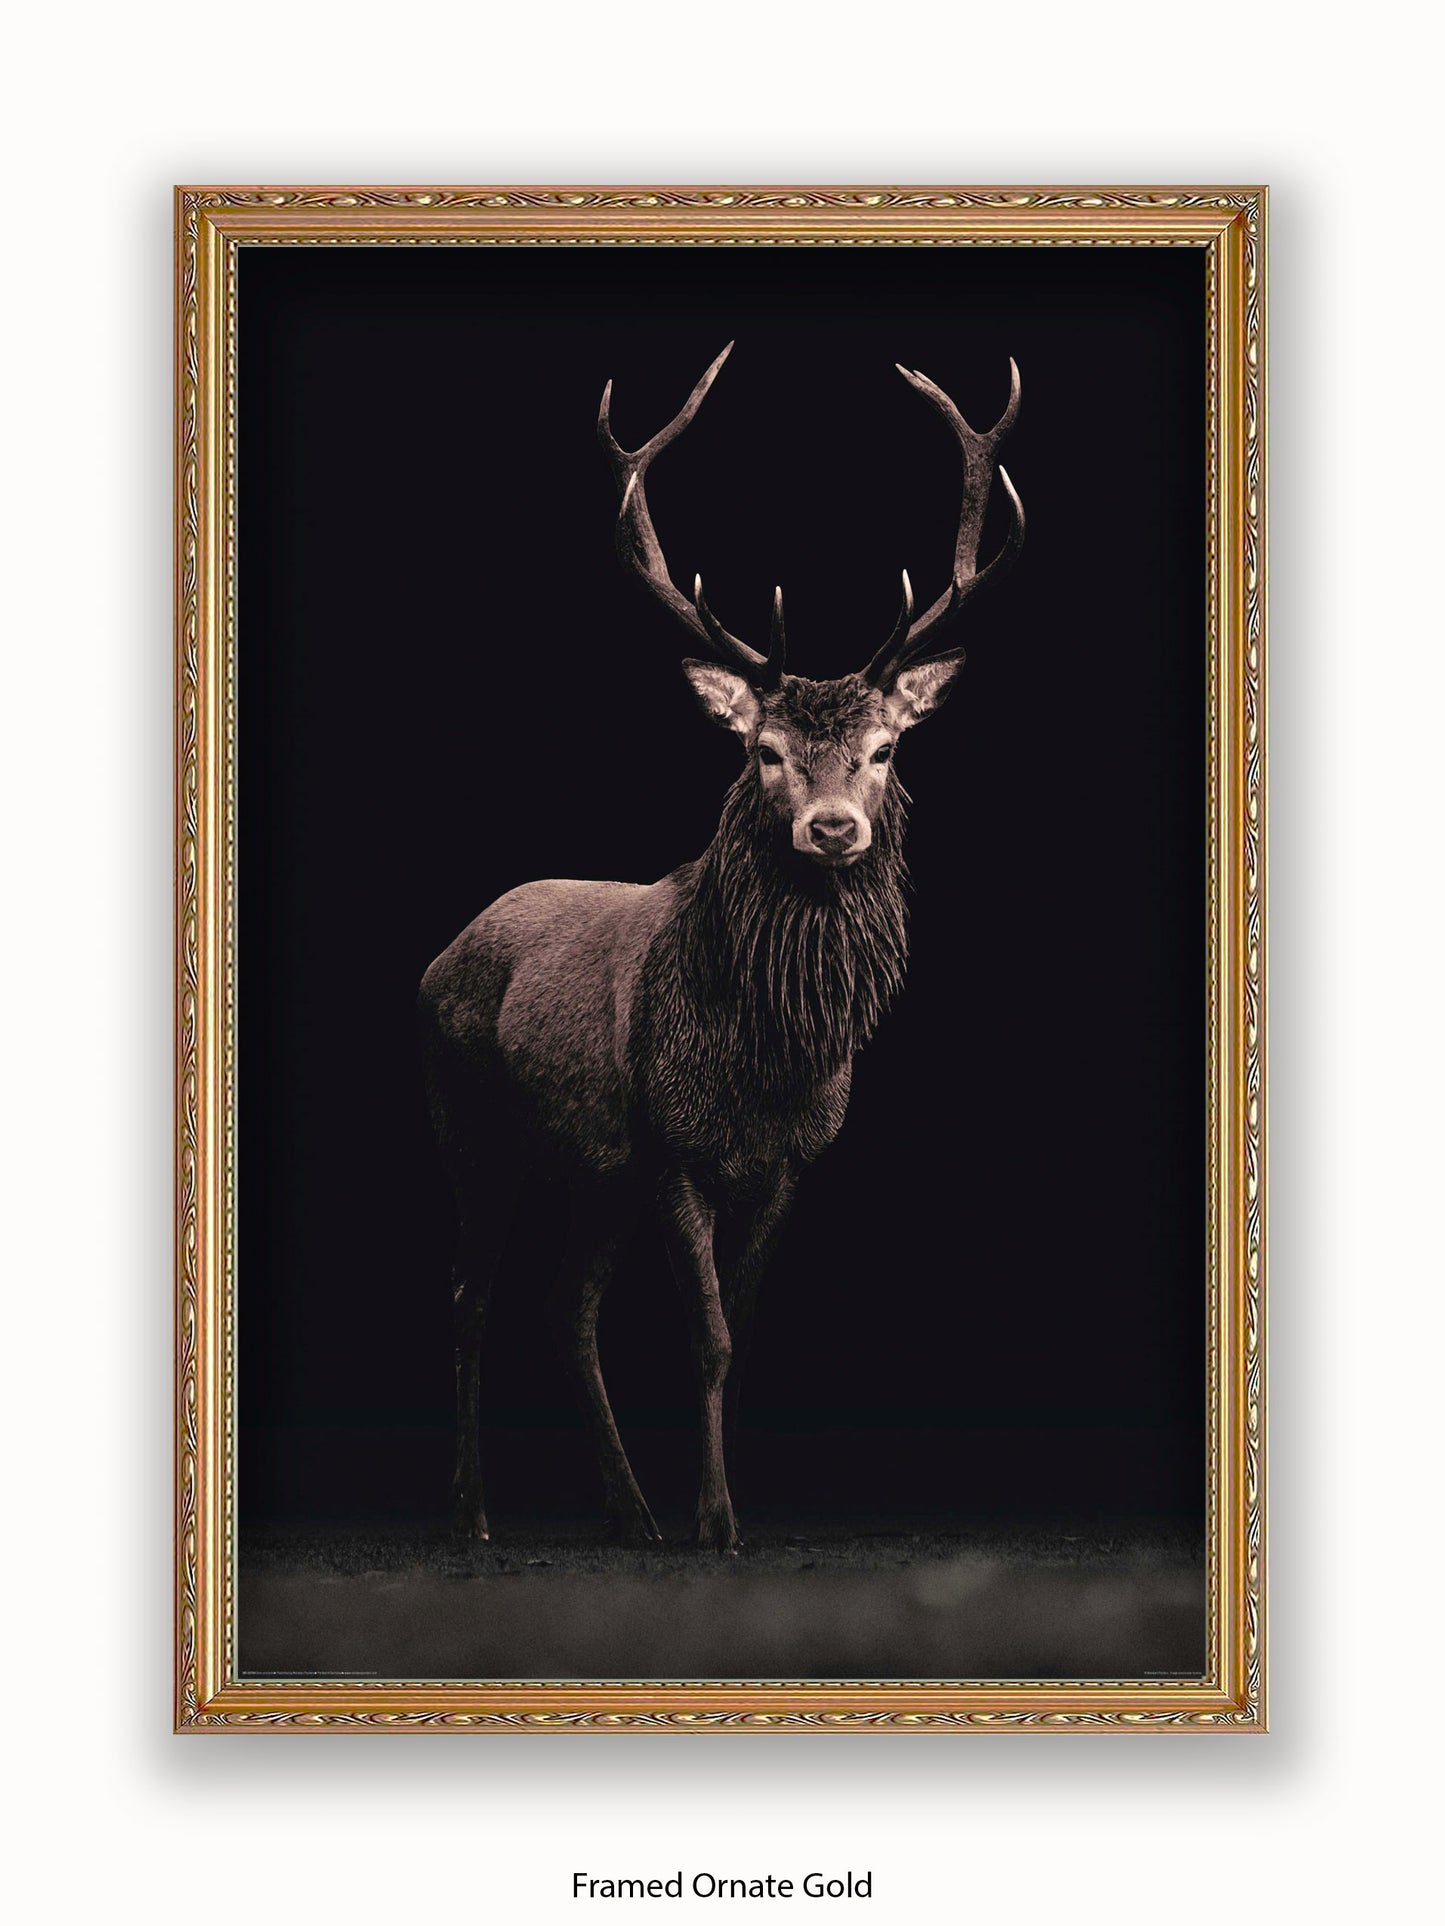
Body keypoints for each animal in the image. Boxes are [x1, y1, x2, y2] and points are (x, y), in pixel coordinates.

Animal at [419, 343, 1024, 1552]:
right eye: (764, 751)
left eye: (884, 749)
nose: (831, 829)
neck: (764, 1064)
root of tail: (438, 957)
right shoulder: (673, 1148)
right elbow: (703, 1333)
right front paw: (715, 1519)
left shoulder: (785, 1163)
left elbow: (738, 1341)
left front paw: (717, 1501)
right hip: (474, 1122)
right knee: (471, 1295)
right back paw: (475, 1512)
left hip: (591, 1166)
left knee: (565, 1304)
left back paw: (627, 1509)